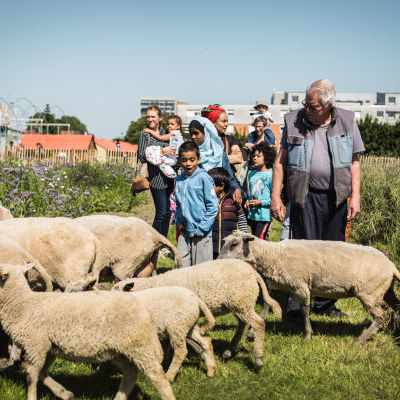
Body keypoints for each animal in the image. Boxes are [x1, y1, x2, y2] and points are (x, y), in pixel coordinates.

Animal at [0, 262, 175, 400]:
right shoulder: (49, 348)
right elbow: (42, 374)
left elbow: (31, 376)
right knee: (131, 375)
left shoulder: (36, 345)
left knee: (158, 379)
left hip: (141, 347)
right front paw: (65, 394)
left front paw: (32, 397)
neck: (23, 303)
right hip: (121, 351)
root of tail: (145, 311)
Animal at [111, 260, 282, 372]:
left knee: (258, 324)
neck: (151, 287)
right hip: (240, 303)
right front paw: (168, 359)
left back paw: (258, 360)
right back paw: (228, 352)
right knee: (243, 324)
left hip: (242, 301)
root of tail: (253, 272)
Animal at [217, 231, 400, 344]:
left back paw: (359, 341)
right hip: (386, 291)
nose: (217, 261)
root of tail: (391, 265)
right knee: (396, 307)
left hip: (369, 293)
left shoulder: (301, 286)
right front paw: (252, 332)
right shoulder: (276, 285)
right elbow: (267, 305)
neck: (273, 255)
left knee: (380, 317)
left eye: (234, 243)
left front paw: (307, 335)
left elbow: (305, 311)